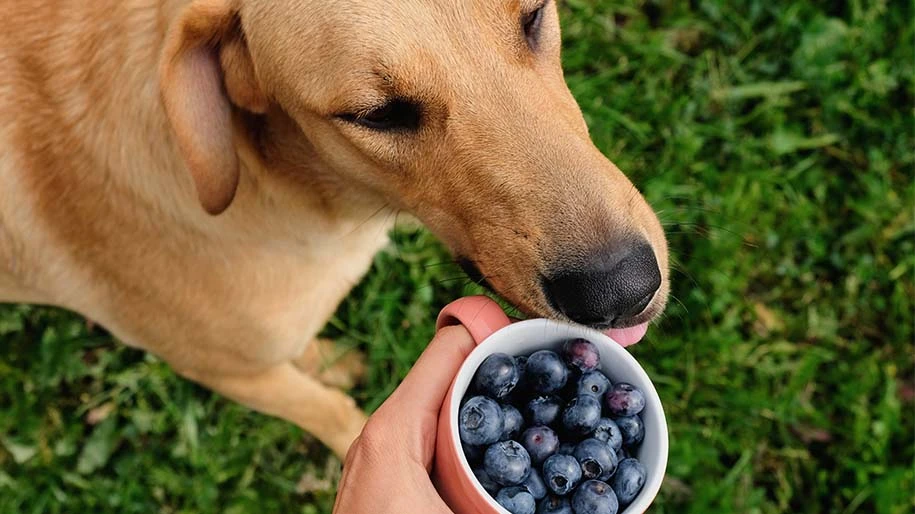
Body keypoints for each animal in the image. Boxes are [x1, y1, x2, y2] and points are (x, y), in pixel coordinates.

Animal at [1, 0, 672, 456]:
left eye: (533, 16)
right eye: (377, 115)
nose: (622, 289)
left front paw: (323, 358)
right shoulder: (226, 372)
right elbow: (333, 414)